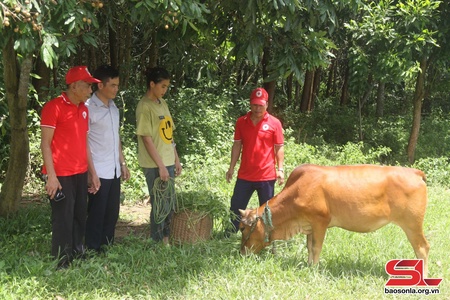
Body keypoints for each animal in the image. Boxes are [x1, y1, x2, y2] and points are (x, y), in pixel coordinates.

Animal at [239, 164, 428, 276]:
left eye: (242, 228)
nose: (241, 253)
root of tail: (414, 172)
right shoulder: (309, 225)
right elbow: (309, 247)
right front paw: (308, 265)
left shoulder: (320, 221)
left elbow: (316, 247)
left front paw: (314, 269)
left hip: (413, 224)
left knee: (422, 248)